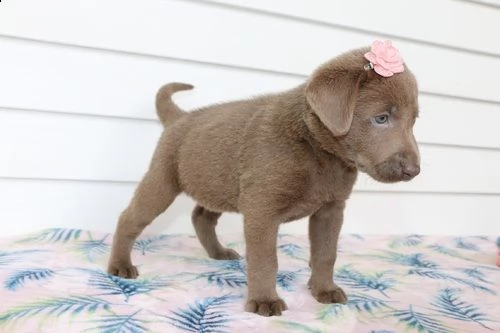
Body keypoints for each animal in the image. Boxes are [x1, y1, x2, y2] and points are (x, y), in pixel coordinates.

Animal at [107, 40, 420, 316]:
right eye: (381, 118)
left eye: (413, 121)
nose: (414, 171)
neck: (316, 149)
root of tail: (179, 117)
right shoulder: (262, 210)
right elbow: (265, 259)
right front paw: (263, 300)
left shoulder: (330, 211)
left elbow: (326, 253)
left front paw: (324, 289)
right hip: (162, 182)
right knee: (129, 218)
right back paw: (120, 264)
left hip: (217, 183)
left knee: (201, 217)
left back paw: (218, 252)